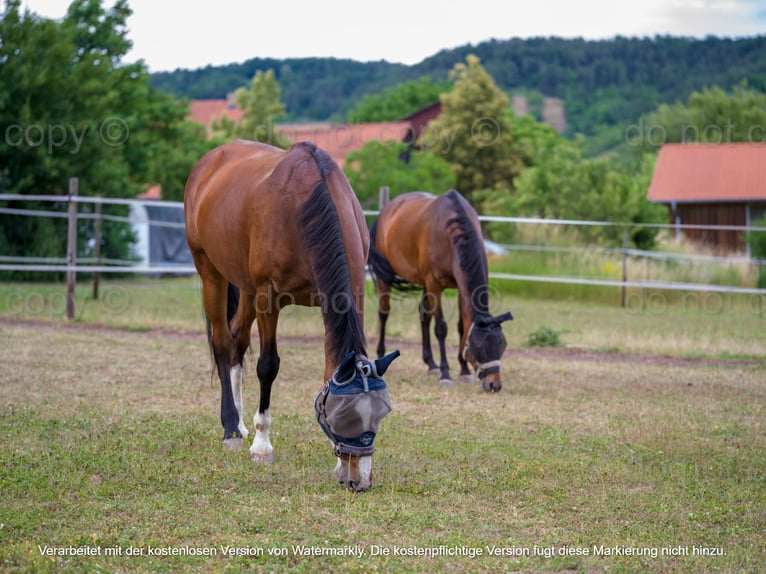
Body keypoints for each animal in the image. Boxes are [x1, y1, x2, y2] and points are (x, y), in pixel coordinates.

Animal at [184, 140, 399, 492]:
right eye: (343, 416)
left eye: (381, 414)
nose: (360, 481)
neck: (305, 207)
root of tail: (209, 161)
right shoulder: (268, 299)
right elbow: (267, 366)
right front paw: (261, 446)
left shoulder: (352, 292)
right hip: (210, 271)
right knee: (222, 343)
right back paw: (231, 429)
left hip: (244, 287)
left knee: (236, 342)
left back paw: (239, 422)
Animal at [368, 190, 512, 392]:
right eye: (479, 348)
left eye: (502, 347)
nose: (494, 384)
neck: (450, 233)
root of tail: (386, 211)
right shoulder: (434, 285)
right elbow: (441, 328)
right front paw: (445, 373)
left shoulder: (459, 287)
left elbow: (461, 327)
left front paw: (463, 370)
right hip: (386, 278)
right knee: (384, 313)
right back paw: (381, 356)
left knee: (424, 316)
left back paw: (431, 364)